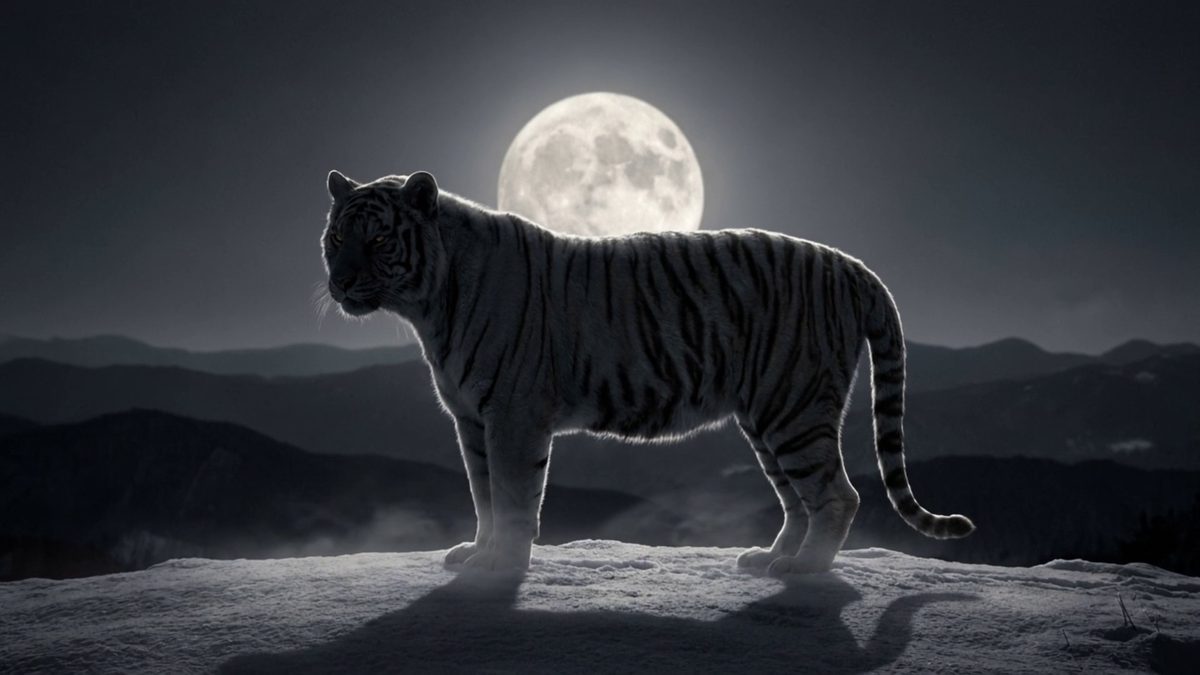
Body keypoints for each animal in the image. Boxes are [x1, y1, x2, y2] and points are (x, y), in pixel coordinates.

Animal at [320, 169, 975, 575]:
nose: (340, 281)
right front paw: (477, 554)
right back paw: (767, 560)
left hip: (795, 408)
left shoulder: (511, 417)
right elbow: (483, 496)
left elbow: (511, 497)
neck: (428, 305)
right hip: (767, 417)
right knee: (798, 500)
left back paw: (802, 570)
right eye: (336, 236)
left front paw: (501, 565)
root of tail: (853, 264)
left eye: (377, 239)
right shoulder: (471, 421)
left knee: (837, 495)